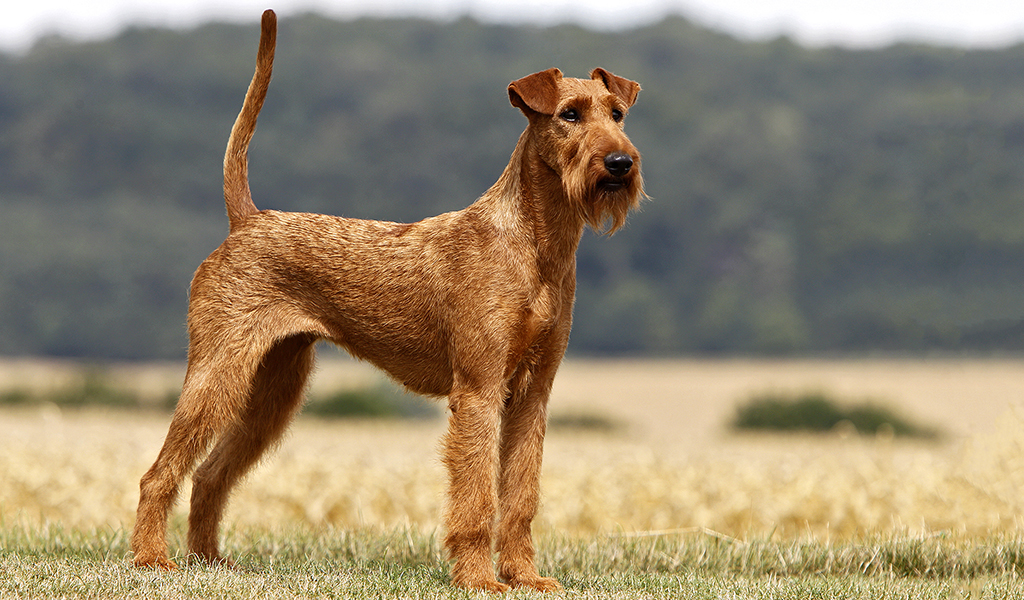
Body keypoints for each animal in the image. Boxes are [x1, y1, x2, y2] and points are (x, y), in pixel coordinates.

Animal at [128, 8, 638, 589]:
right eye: (569, 114)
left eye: (618, 113)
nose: (620, 162)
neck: (536, 246)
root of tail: (248, 219)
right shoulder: (479, 390)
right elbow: (477, 498)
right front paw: (478, 579)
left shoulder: (534, 393)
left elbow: (521, 496)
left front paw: (526, 578)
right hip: (218, 372)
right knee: (159, 473)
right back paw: (152, 560)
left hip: (273, 387)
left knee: (211, 474)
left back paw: (210, 562)